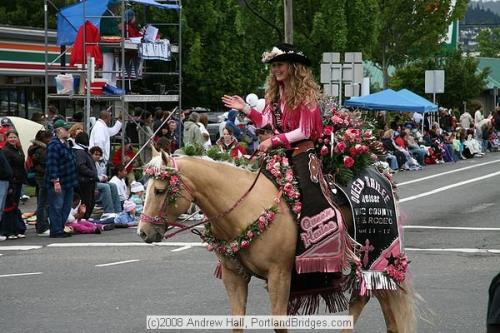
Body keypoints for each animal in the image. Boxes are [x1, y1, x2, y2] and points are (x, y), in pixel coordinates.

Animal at [139, 149, 416, 330]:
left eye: (160, 190)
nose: (143, 232)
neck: (248, 210)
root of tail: (379, 170)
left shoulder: (279, 276)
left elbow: (278, 323)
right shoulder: (234, 276)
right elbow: (237, 321)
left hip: (373, 258)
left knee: (365, 299)